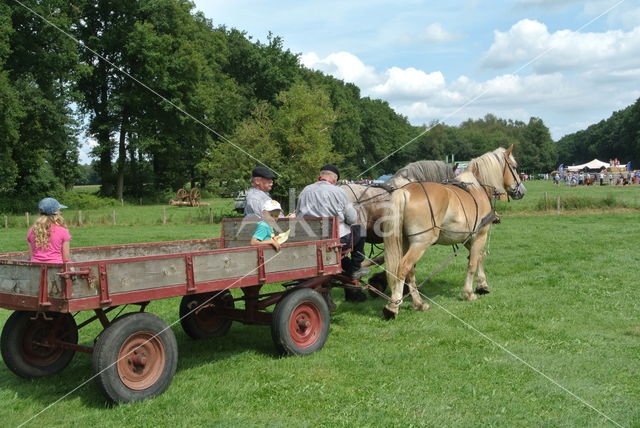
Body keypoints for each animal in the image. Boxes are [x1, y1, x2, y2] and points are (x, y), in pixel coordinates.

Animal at [380, 146, 524, 318]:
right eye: (514, 167)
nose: (521, 191)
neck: (478, 188)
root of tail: (405, 191)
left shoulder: (468, 238)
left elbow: (478, 257)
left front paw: (482, 285)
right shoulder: (480, 235)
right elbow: (472, 263)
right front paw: (469, 293)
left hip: (405, 242)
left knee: (410, 272)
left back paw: (419, 303)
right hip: (420, 243)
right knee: (403, 267)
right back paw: (393, 306)